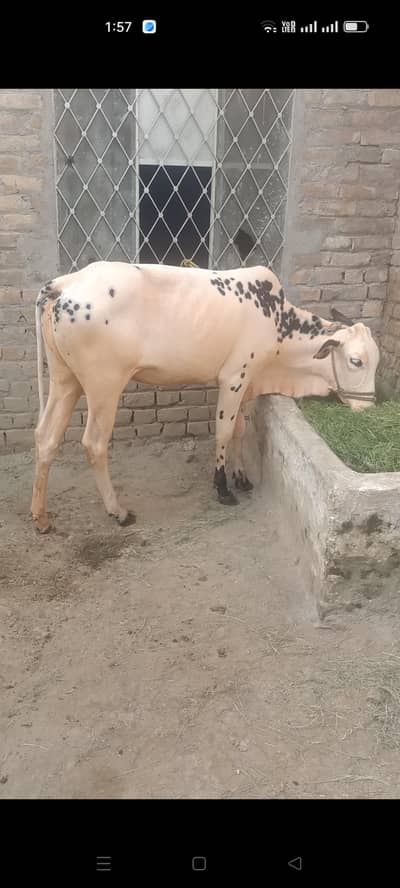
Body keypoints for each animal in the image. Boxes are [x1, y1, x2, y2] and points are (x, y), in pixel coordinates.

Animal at [31, 261, 379, 533]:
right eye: (356, 361)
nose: (368, 406)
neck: (279, 325)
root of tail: (65, 283)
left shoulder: (248, 380)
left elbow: (240, 429)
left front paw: (241, 477)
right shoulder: (234, 378)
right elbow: (224, 431)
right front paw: (222, 487)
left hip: (65, 379)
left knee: (46, 437)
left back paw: (41, 518)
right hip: (104, 384)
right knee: (94, 444)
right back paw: (118, 511)